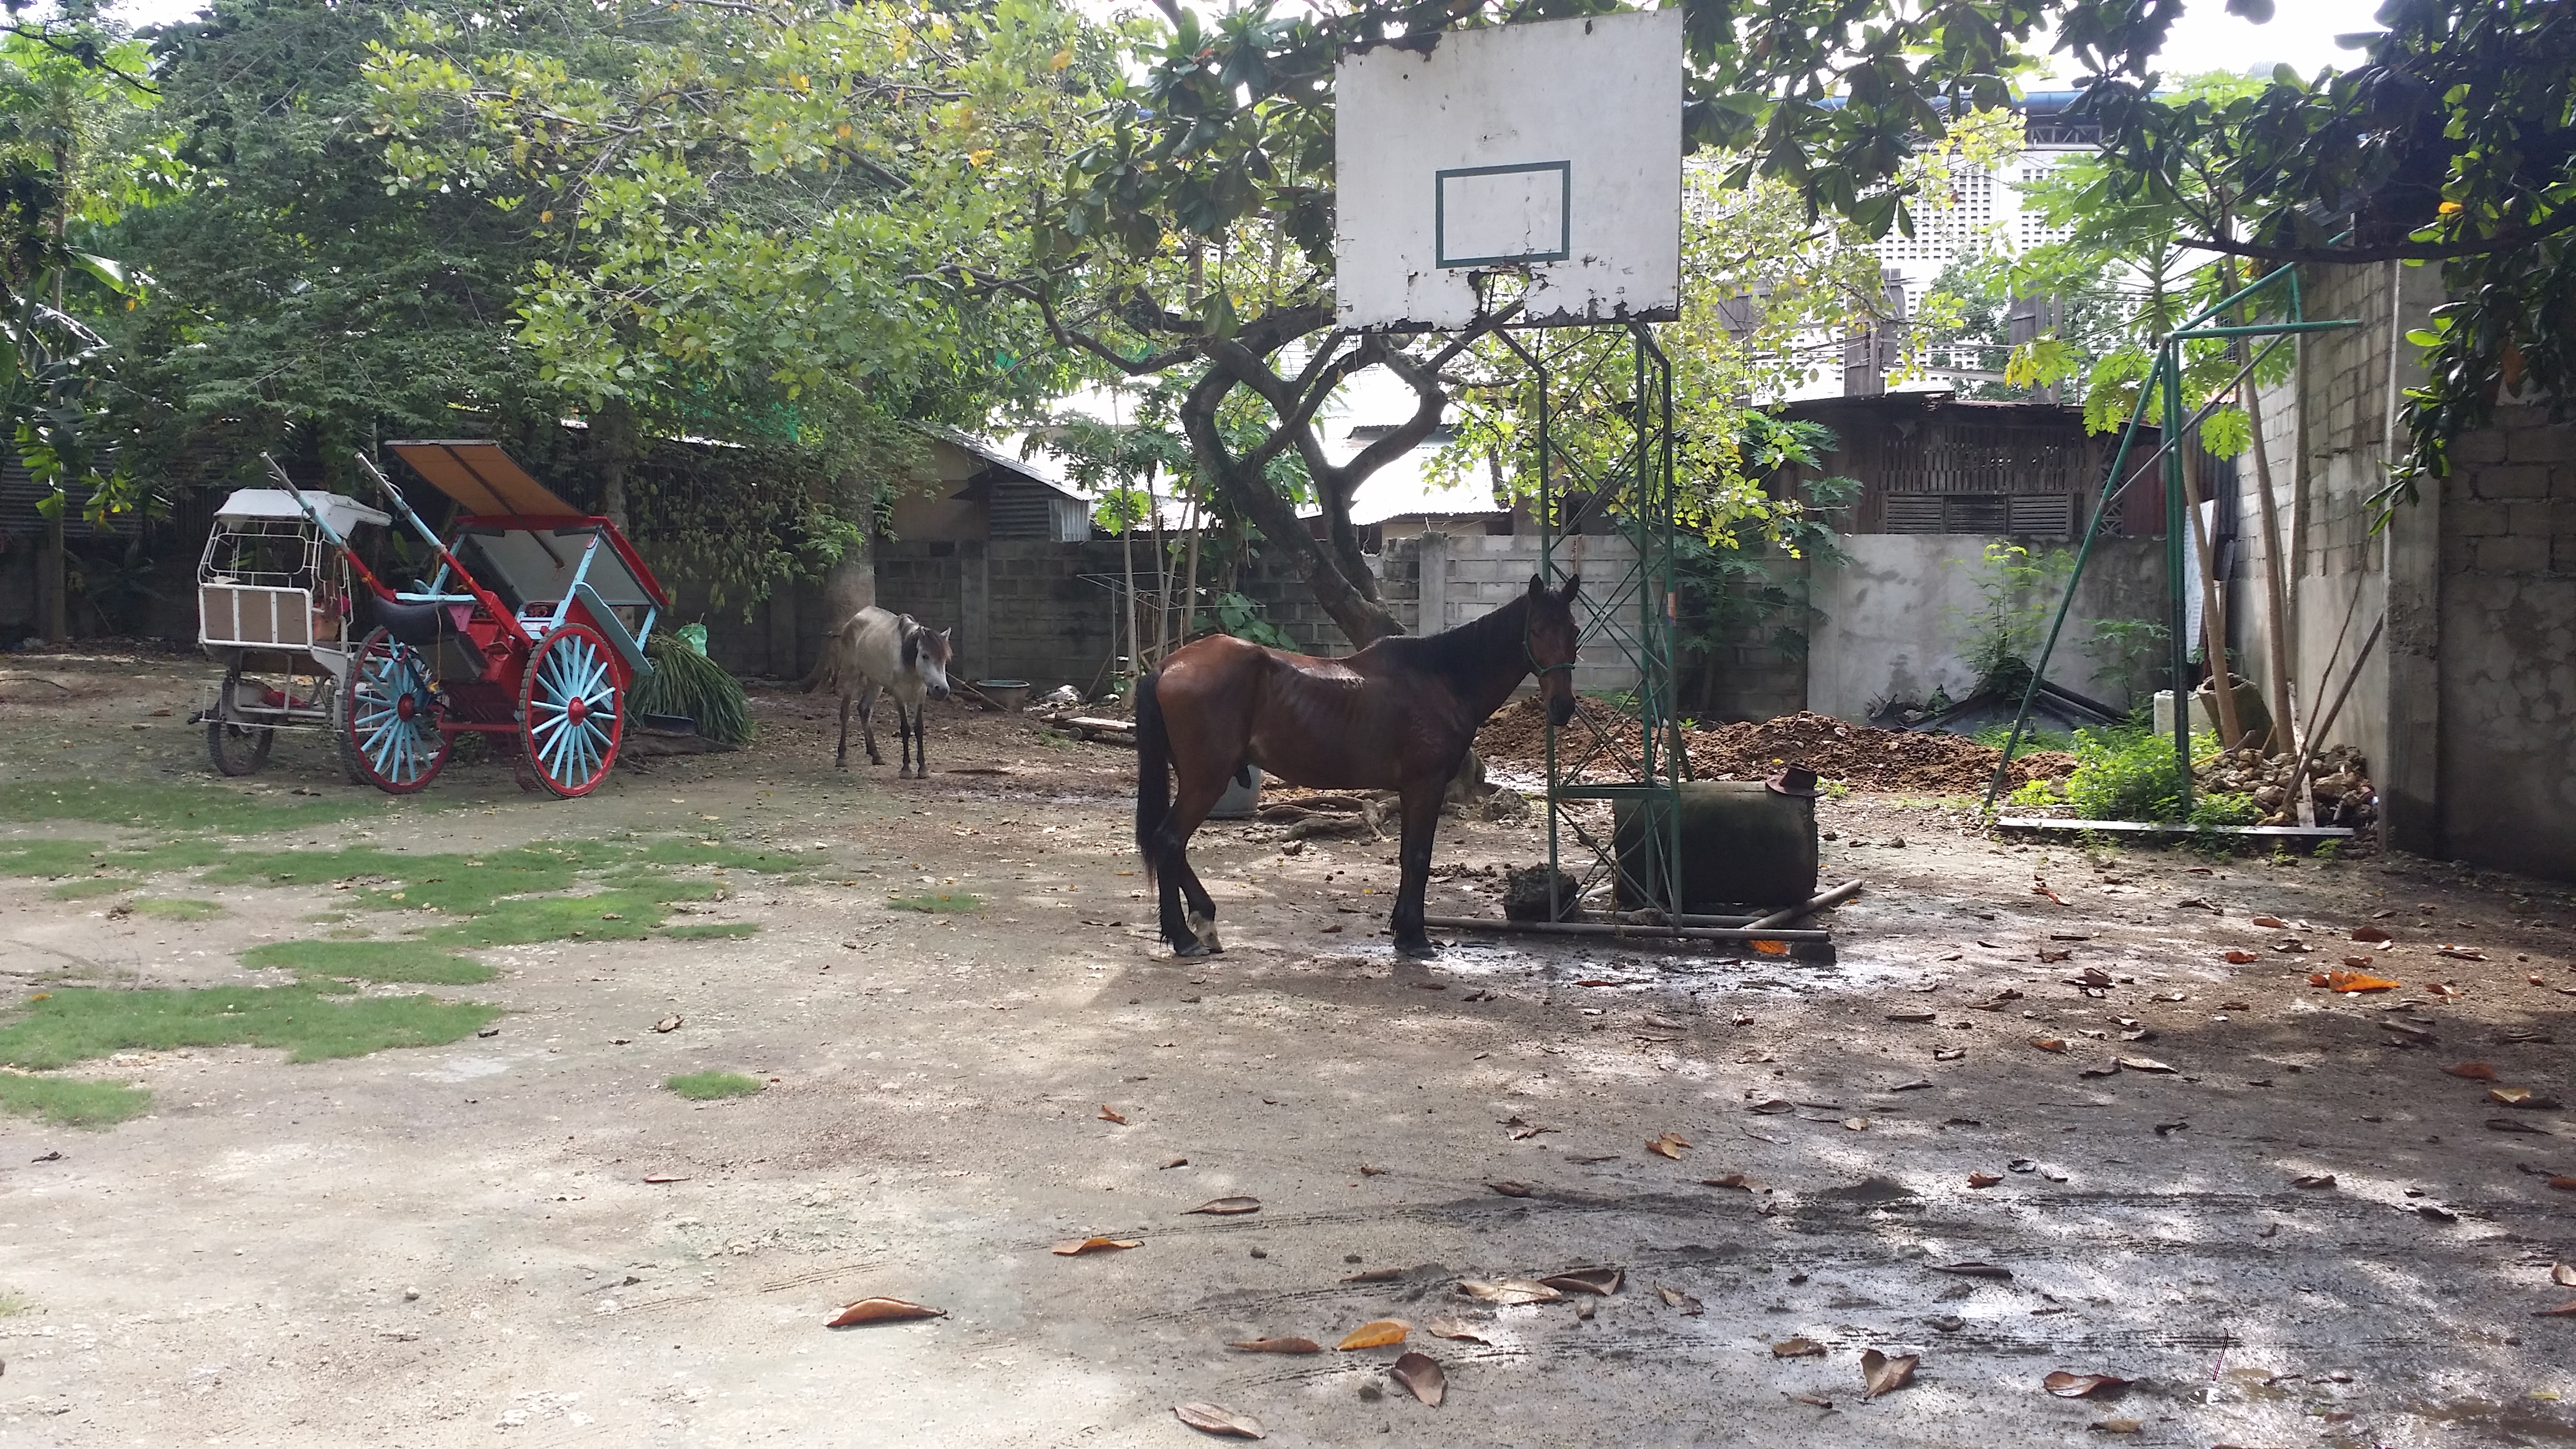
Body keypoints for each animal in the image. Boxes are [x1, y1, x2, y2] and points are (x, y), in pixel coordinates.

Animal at [810, 606, 954, 776]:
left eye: (945, 659)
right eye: (925, 656)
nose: (942, 690)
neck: (907, 659)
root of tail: (854, 618)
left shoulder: (921, 694)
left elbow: (919, 728)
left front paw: (923, 769)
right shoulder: (899, 694)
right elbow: (905, 728)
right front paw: (906, 769)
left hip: (875, 682)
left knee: (864, 710)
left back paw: (876, 755)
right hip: (852, 674)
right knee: (845, 712)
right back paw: (842, 757)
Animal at [1135, 573, 1581, 957]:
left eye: (1574, 631)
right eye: (1537, 630)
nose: (1562, 707)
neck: (1441, 678)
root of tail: (1168, 665)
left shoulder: (1412, 790)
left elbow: (1409, 856)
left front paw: (1403, 932)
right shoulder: (1426, 786)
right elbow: (1418, 857)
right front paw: (1416, 937)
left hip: (1199, 778)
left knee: (1171, 845)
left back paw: (1204, 923)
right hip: (1207, 779)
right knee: (1170, 841)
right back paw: (1184, 938)